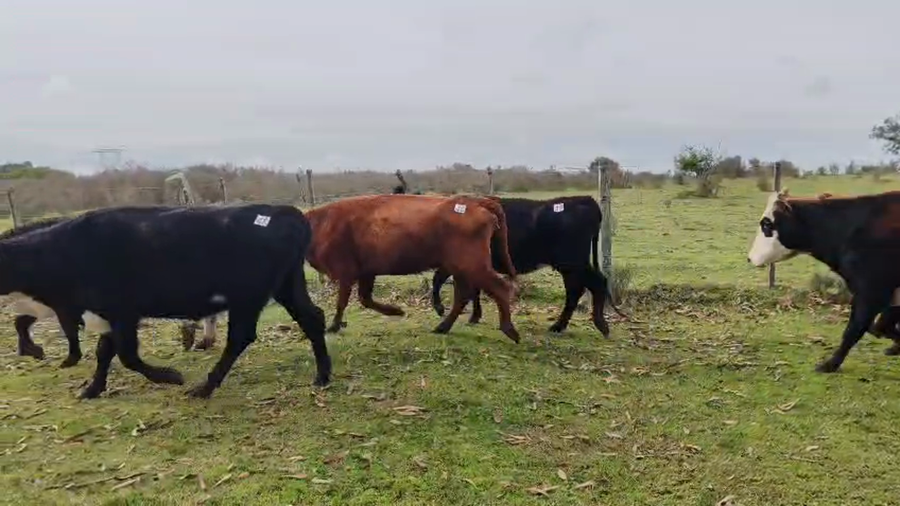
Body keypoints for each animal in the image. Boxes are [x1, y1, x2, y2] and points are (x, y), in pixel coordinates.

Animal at [304, 194, 521, 342]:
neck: (322, 223)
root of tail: (474, 201)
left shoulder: (346, 273)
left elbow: (342, 302)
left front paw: (333, 326)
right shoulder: (366, 272)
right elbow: (365, 299)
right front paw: (396, 311)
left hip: (472, 266)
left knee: (499, 288)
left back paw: (509, 330)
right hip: (461, 269)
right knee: (462, 296)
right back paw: (442, 327)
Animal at [426, 195, 627, 337]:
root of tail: (584, 199)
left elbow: (439, 280)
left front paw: (440, 308)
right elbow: (473, 290)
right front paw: (475, 316)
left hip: (572, 263)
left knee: (590, 286)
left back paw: (592, 325)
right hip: (572, 266)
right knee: (582, 288)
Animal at [747, 189, 900, 372]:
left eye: (766, 225)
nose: (749, 258)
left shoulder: (872, 291)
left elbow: (856, 329)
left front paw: (829, 365)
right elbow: (878, 326)